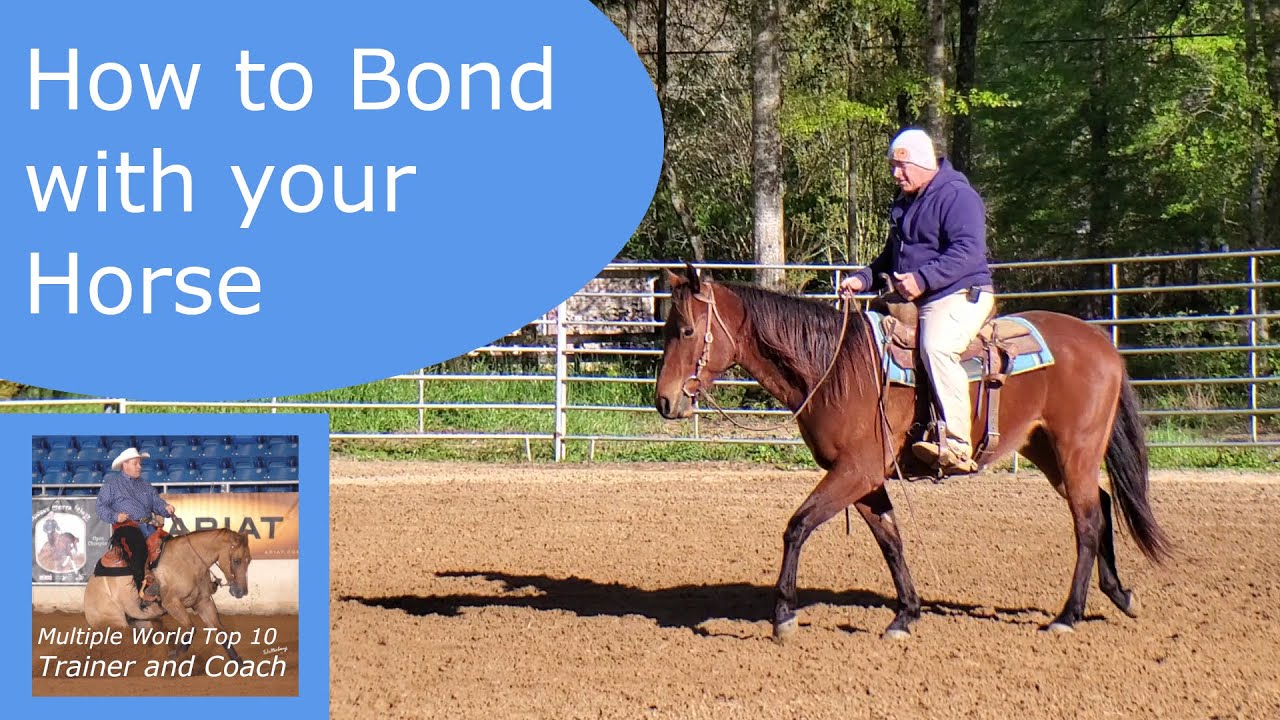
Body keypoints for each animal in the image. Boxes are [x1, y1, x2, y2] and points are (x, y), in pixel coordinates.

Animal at [84, 528, 252, 660]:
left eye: (249, 560)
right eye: (236, 560)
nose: (241, 592)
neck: (189, 561)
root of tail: (89, 590)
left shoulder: (203, 602)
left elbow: (221, 633)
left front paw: (240, 665)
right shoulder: (171, 604)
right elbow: (190, 628)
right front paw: (173, 656)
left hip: (140, 620)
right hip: (114, 623)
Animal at [653, 266, 1171, 640]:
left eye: (685, 330)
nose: (664, 401)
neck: (836, 367)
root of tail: (1101, 342)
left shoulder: (855, 472)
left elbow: (797, 525)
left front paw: (783, 616)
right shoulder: (865, 479)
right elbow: (891, 540)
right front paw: (906, 614)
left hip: (1075, 447)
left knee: (1087, 521)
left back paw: (1068, 615)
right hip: (1048, 450)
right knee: (1100, 504)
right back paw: (1119, 595)